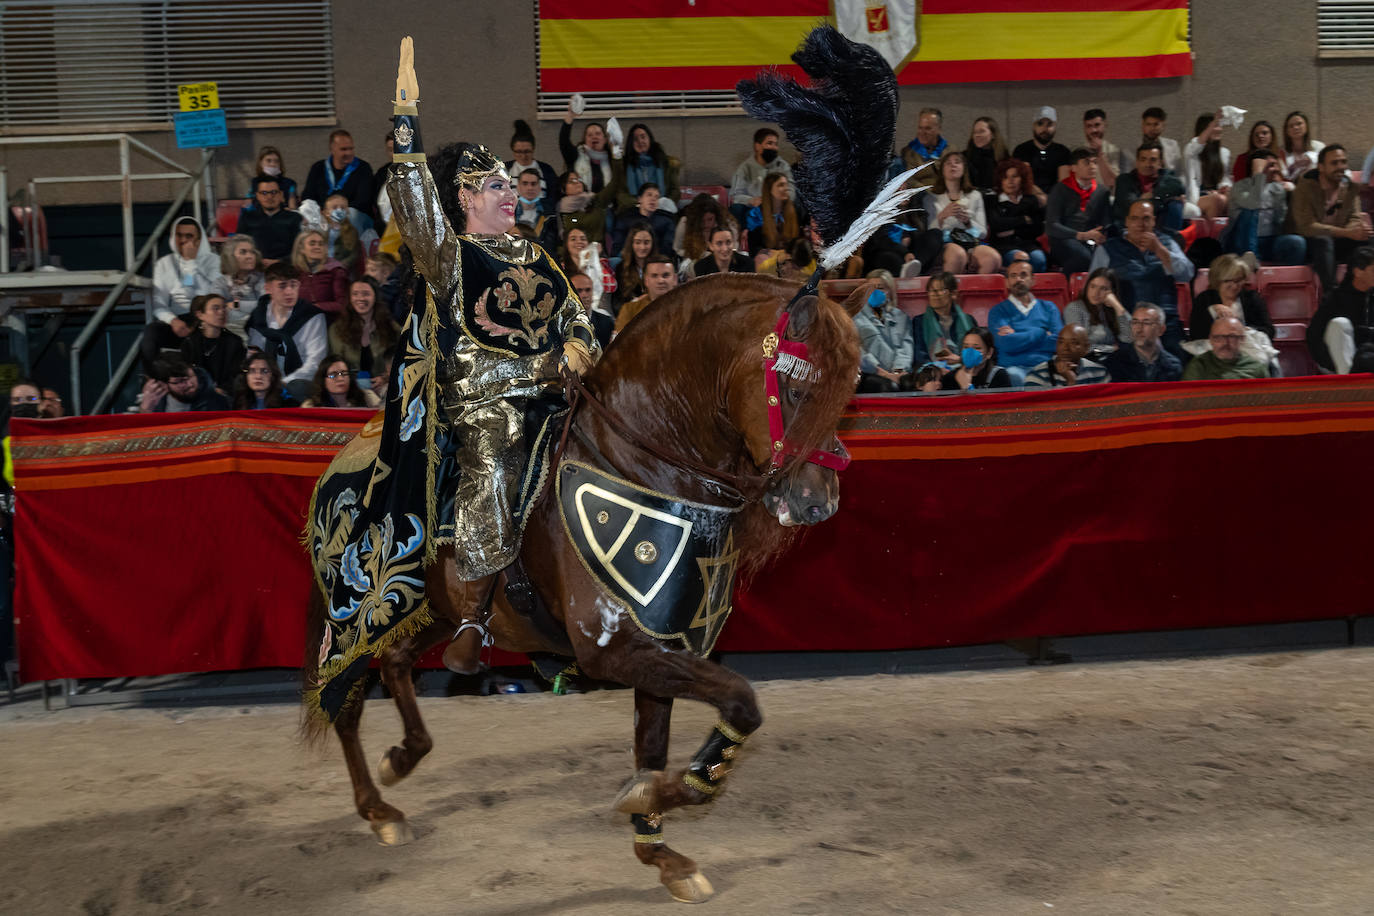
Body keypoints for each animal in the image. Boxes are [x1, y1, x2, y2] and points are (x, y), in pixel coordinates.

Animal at [302, 271, 868, 900]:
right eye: (794, 391)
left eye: (845, 393)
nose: (816, 502)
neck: (644, 466)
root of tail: (341, 460)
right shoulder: (612, 648)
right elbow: (742, 704)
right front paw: (650, 801)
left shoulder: (662, 642)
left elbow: (654, 745)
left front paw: (659, 849)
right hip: (356, 621)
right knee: (345, 703)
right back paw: (377, 809)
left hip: (434, 611)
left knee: (400, 662)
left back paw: (404, 757)